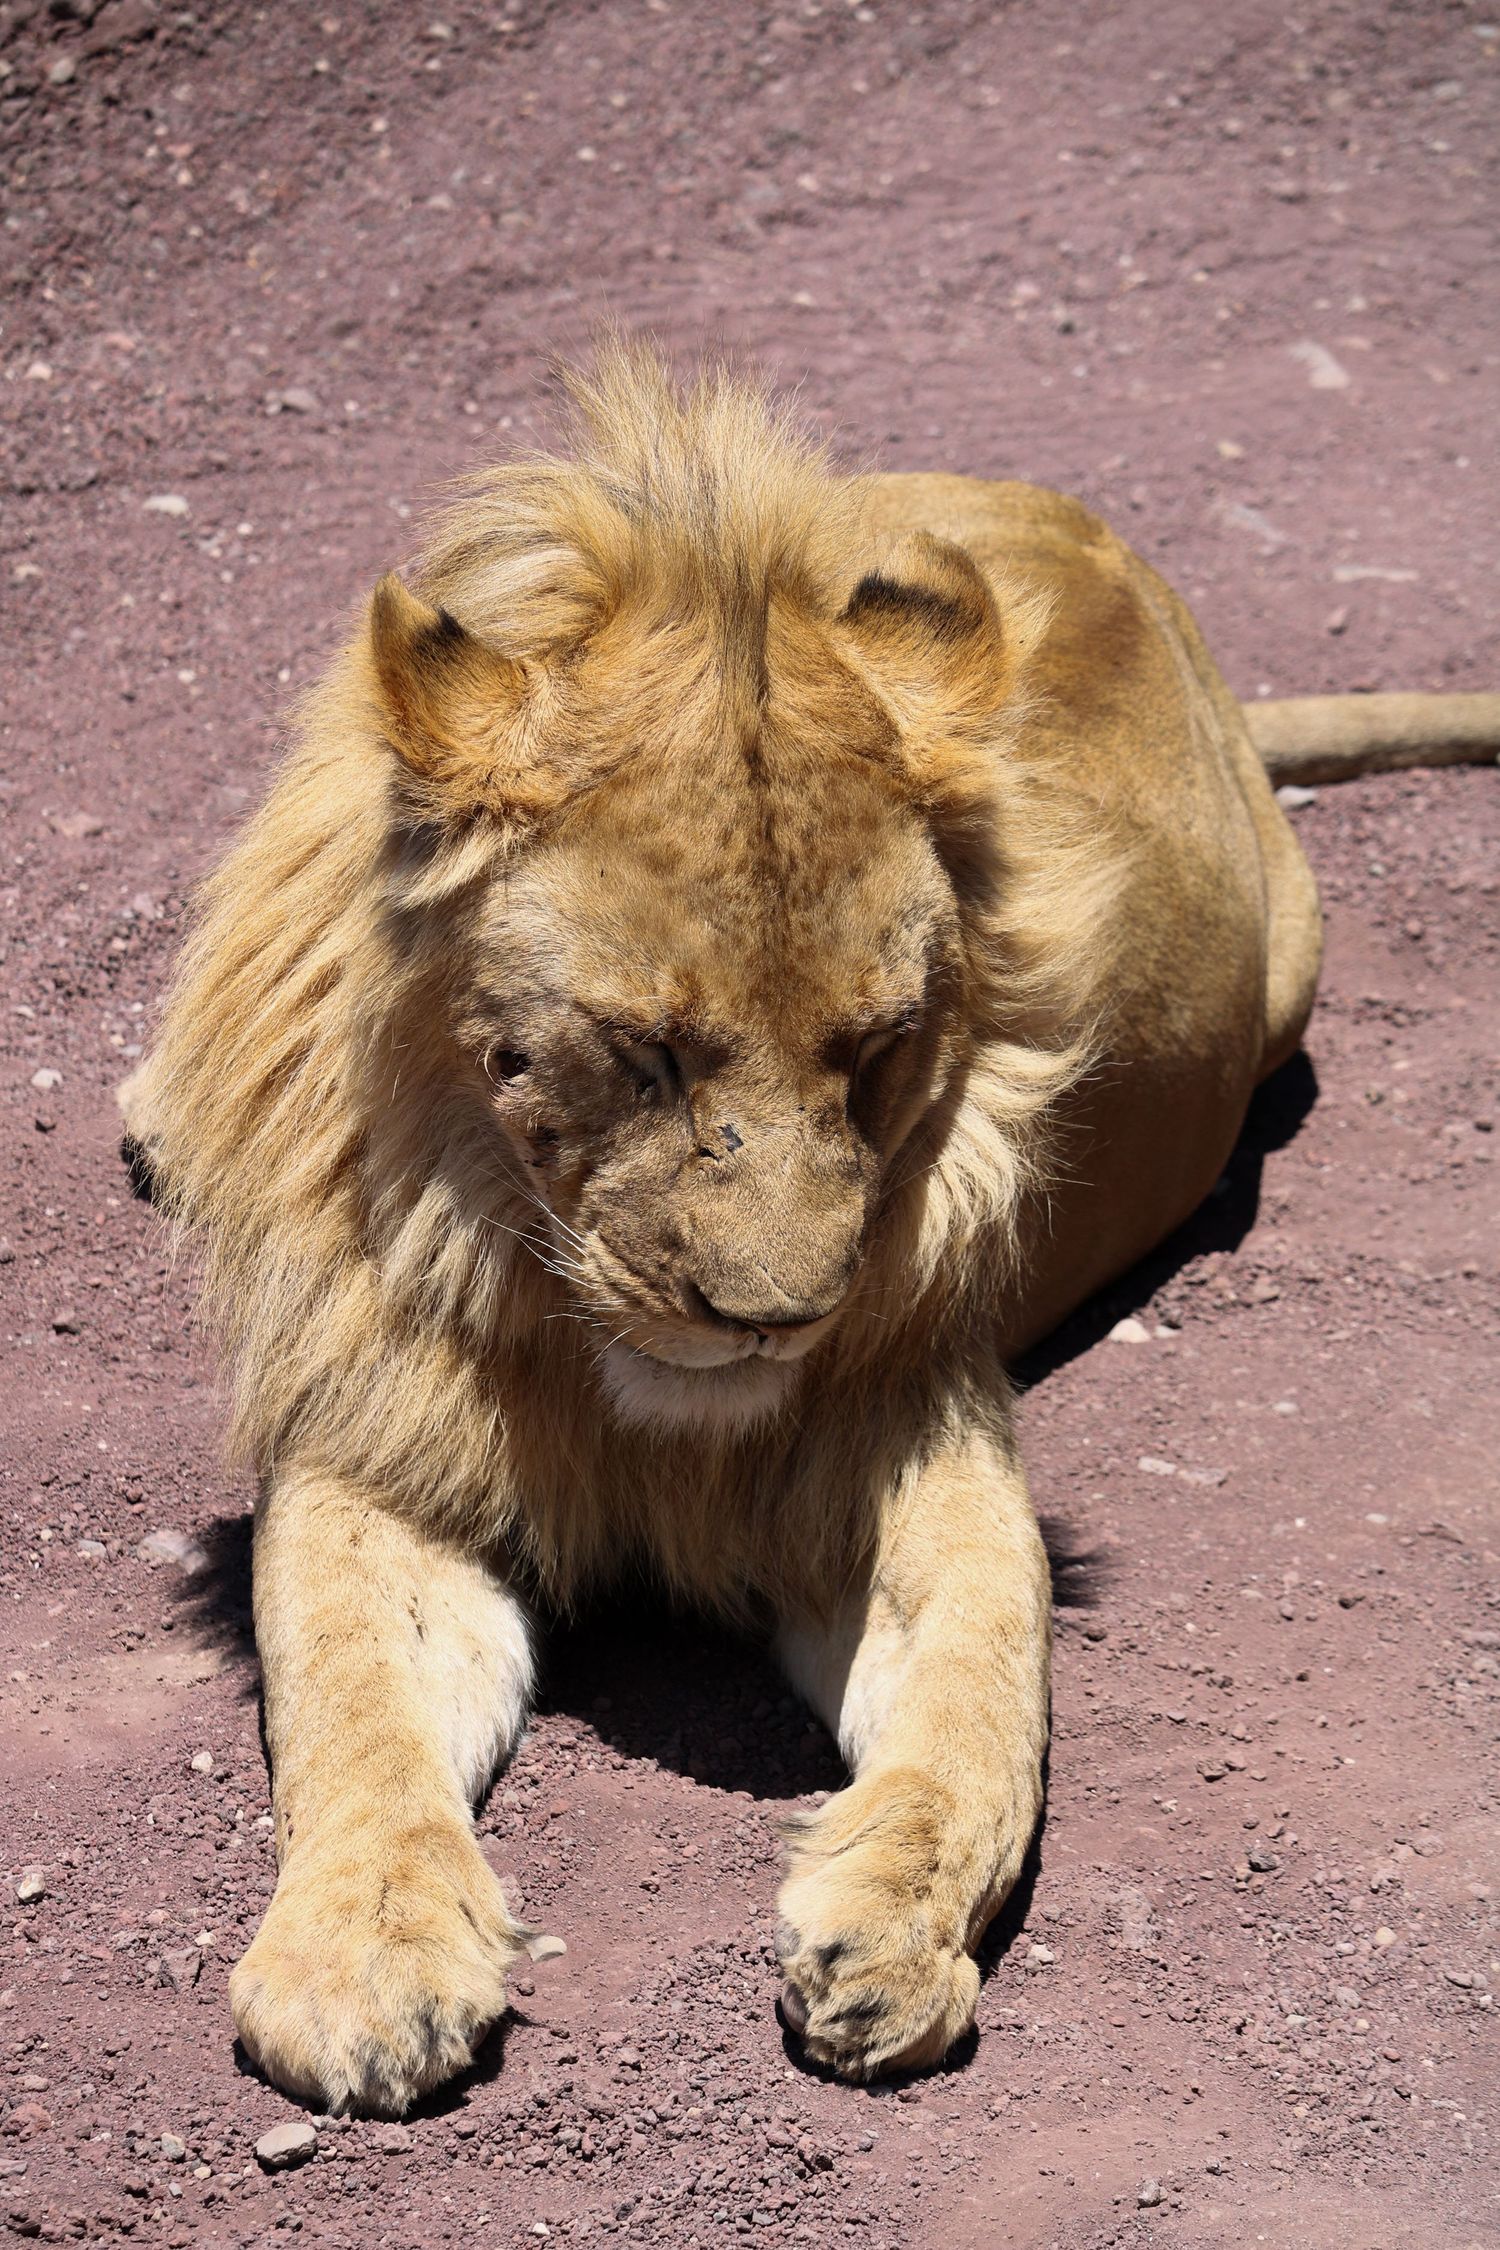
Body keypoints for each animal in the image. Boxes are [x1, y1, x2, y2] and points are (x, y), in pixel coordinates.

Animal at [121, 343, 1498, 2115]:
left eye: (878, 1049)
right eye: (644, 1051)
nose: (774, 1317)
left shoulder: (913, 1439)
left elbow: (982, 1689)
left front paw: (890, 1933)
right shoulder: (374, 1439)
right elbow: (348, 1698)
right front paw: (362, 1957)